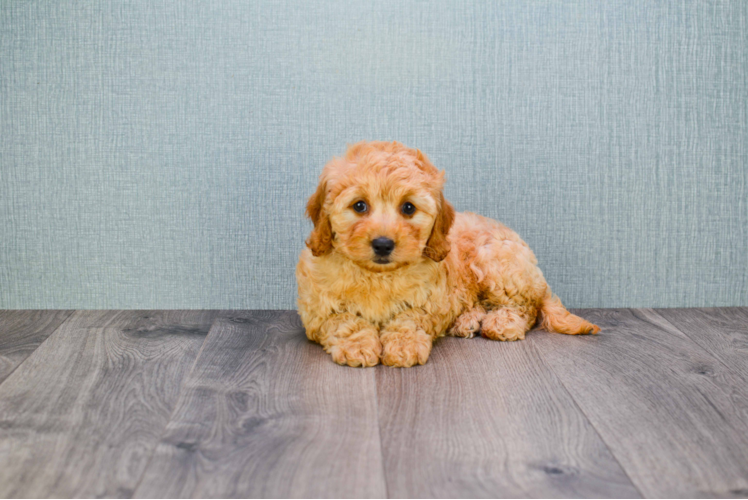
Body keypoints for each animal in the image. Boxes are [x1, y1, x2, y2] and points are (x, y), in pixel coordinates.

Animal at [296, 141, 600, 368]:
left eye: (408, 208)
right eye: (359, 206)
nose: (383, 244)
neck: (378, 275)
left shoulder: (429, 303)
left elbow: (408, 319)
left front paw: (403, 346)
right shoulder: (317, 311)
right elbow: (345, 321)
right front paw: (358, 346)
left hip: (497, 263)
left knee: (526, 307)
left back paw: (502, 323)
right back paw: (467, 321)